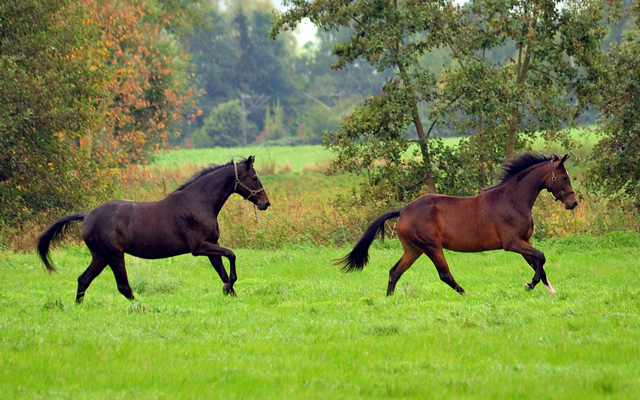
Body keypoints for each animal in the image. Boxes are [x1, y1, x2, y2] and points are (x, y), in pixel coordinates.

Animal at [38, 155, 268, 302]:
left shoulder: (211, 245)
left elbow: (223, 271)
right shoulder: (199, 247)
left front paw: (231, 293)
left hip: (100, 256)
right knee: (122, 286)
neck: (199, 202)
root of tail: (87, 216)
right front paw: (229, 288)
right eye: (254, 177)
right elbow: (232, 255)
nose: (265, 203)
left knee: (84, 280)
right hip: (114, 255)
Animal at [340, 153, 580, 296]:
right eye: (564, 177)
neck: (513, 199)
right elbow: (541, 257)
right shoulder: (512, 243)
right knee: (444, 274)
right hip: (431, 246)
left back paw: (389, 300)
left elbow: (537, 262)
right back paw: (466, 294)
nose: (573, 203)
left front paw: (550, 290)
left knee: (395, 272)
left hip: (413, 249)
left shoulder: (525, 241)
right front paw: (530, 284)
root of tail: (403, 210)